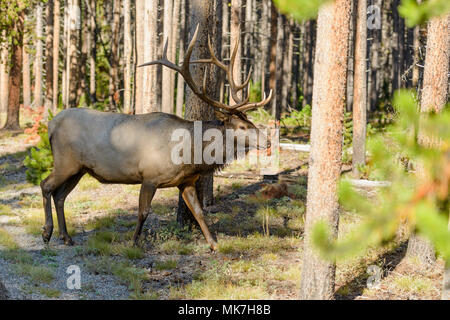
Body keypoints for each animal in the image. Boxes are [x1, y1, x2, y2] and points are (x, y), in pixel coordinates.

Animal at [42, 25, 272, 250]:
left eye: (251, 121)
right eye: (242, 126)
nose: (268, 141)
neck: (189, 156)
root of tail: (50, 125)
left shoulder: (186, 181)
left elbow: (198, 212)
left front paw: (214, 244)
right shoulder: (149, 176)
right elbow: (143, 212)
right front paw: (134, 242)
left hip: (79, 169)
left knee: (60, 196)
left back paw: (66, 237)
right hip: (65, 162)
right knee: (46, 185)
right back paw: (47, 233)